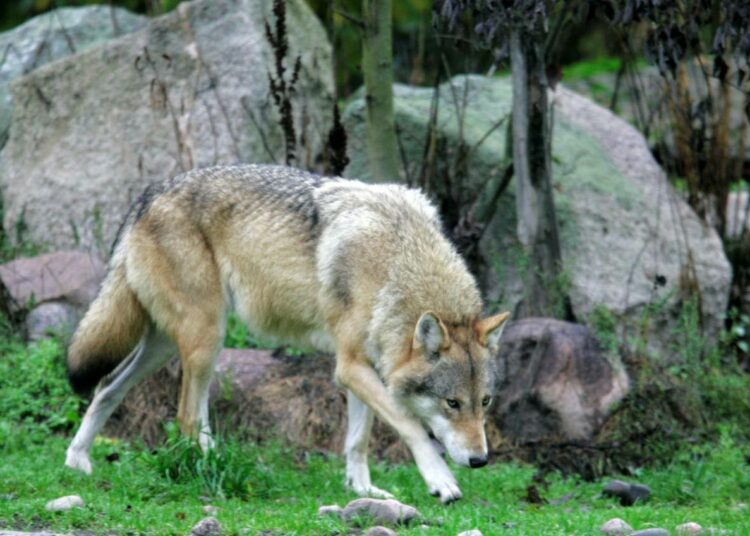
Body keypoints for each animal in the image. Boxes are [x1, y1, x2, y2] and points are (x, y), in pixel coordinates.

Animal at [64, 164, 512, 502]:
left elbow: (359, 439)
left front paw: (363, 491)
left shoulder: (361, 367)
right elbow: (408, 423)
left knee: (106, 386)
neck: (397, 262)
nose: (480, 460)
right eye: (452, 403)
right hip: (207, 339)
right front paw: (440, 480)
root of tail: (151, 192)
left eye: (485, 402)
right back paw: (214, 470)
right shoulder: (350, 367)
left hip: (164, 347)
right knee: (186, 417)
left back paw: (77, 459)